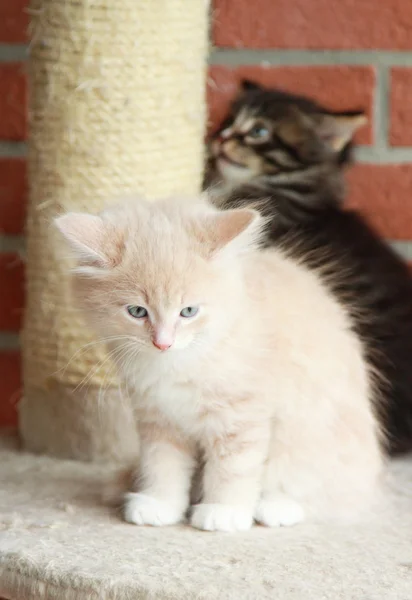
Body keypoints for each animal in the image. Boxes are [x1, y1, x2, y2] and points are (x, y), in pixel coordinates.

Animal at [54, 195, 384, 532]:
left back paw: (277, 506)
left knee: (323, 491)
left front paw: (224, 511)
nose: (163, 342)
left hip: (310, 434)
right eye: (137, 311)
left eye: (188, 311)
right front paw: (161, 504)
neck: (179, 364)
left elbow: (233, 467)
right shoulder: (158, 418)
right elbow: (162, 464)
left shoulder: (241, 415)